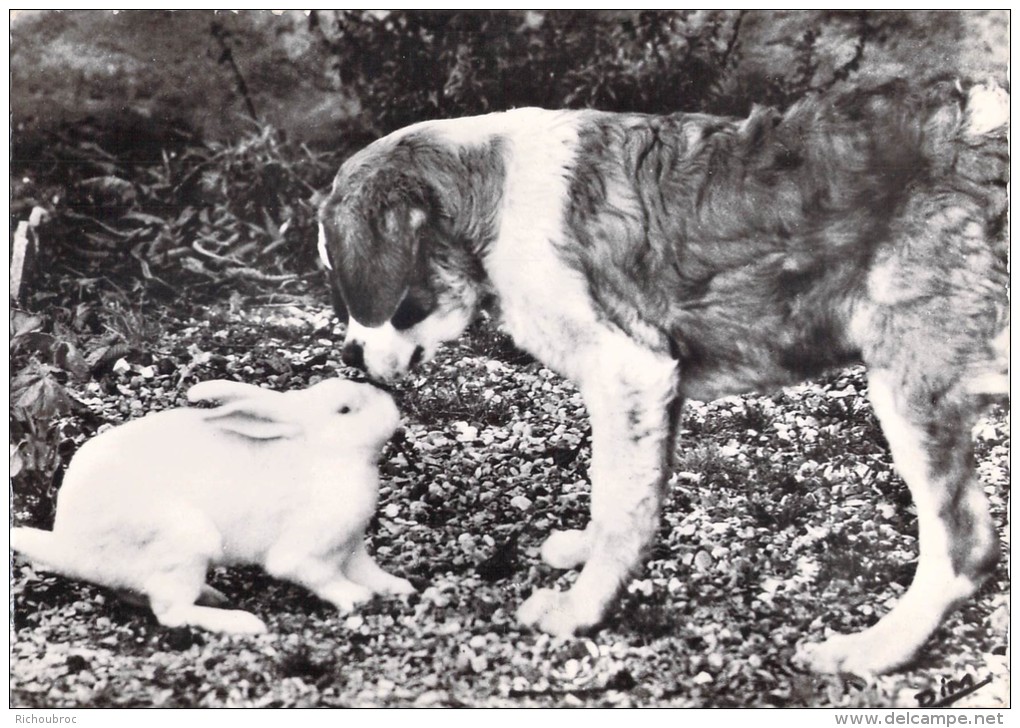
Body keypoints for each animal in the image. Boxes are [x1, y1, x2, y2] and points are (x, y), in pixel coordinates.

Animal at [7, 377, 414, 632]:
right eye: (345, 410)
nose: (391, 402)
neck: (326, 454)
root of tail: (71, 548)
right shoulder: (306, 550)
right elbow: (316, 574)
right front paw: (355, 598)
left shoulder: (351, 546)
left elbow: (369, 571)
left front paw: (399, 588)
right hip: (185, 541)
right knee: (171, 613)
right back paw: (242, 623)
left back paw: (216, 596)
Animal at [316, 76, 1003, 672]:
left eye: (342, 277)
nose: (348, 356)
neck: (493, 191)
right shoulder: (653, 388)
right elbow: (616, 492)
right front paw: (585, 552)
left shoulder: (631, 373)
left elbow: (621, 505)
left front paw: (580, 610)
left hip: (910, 384)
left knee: (964, 544)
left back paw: (873, 650)